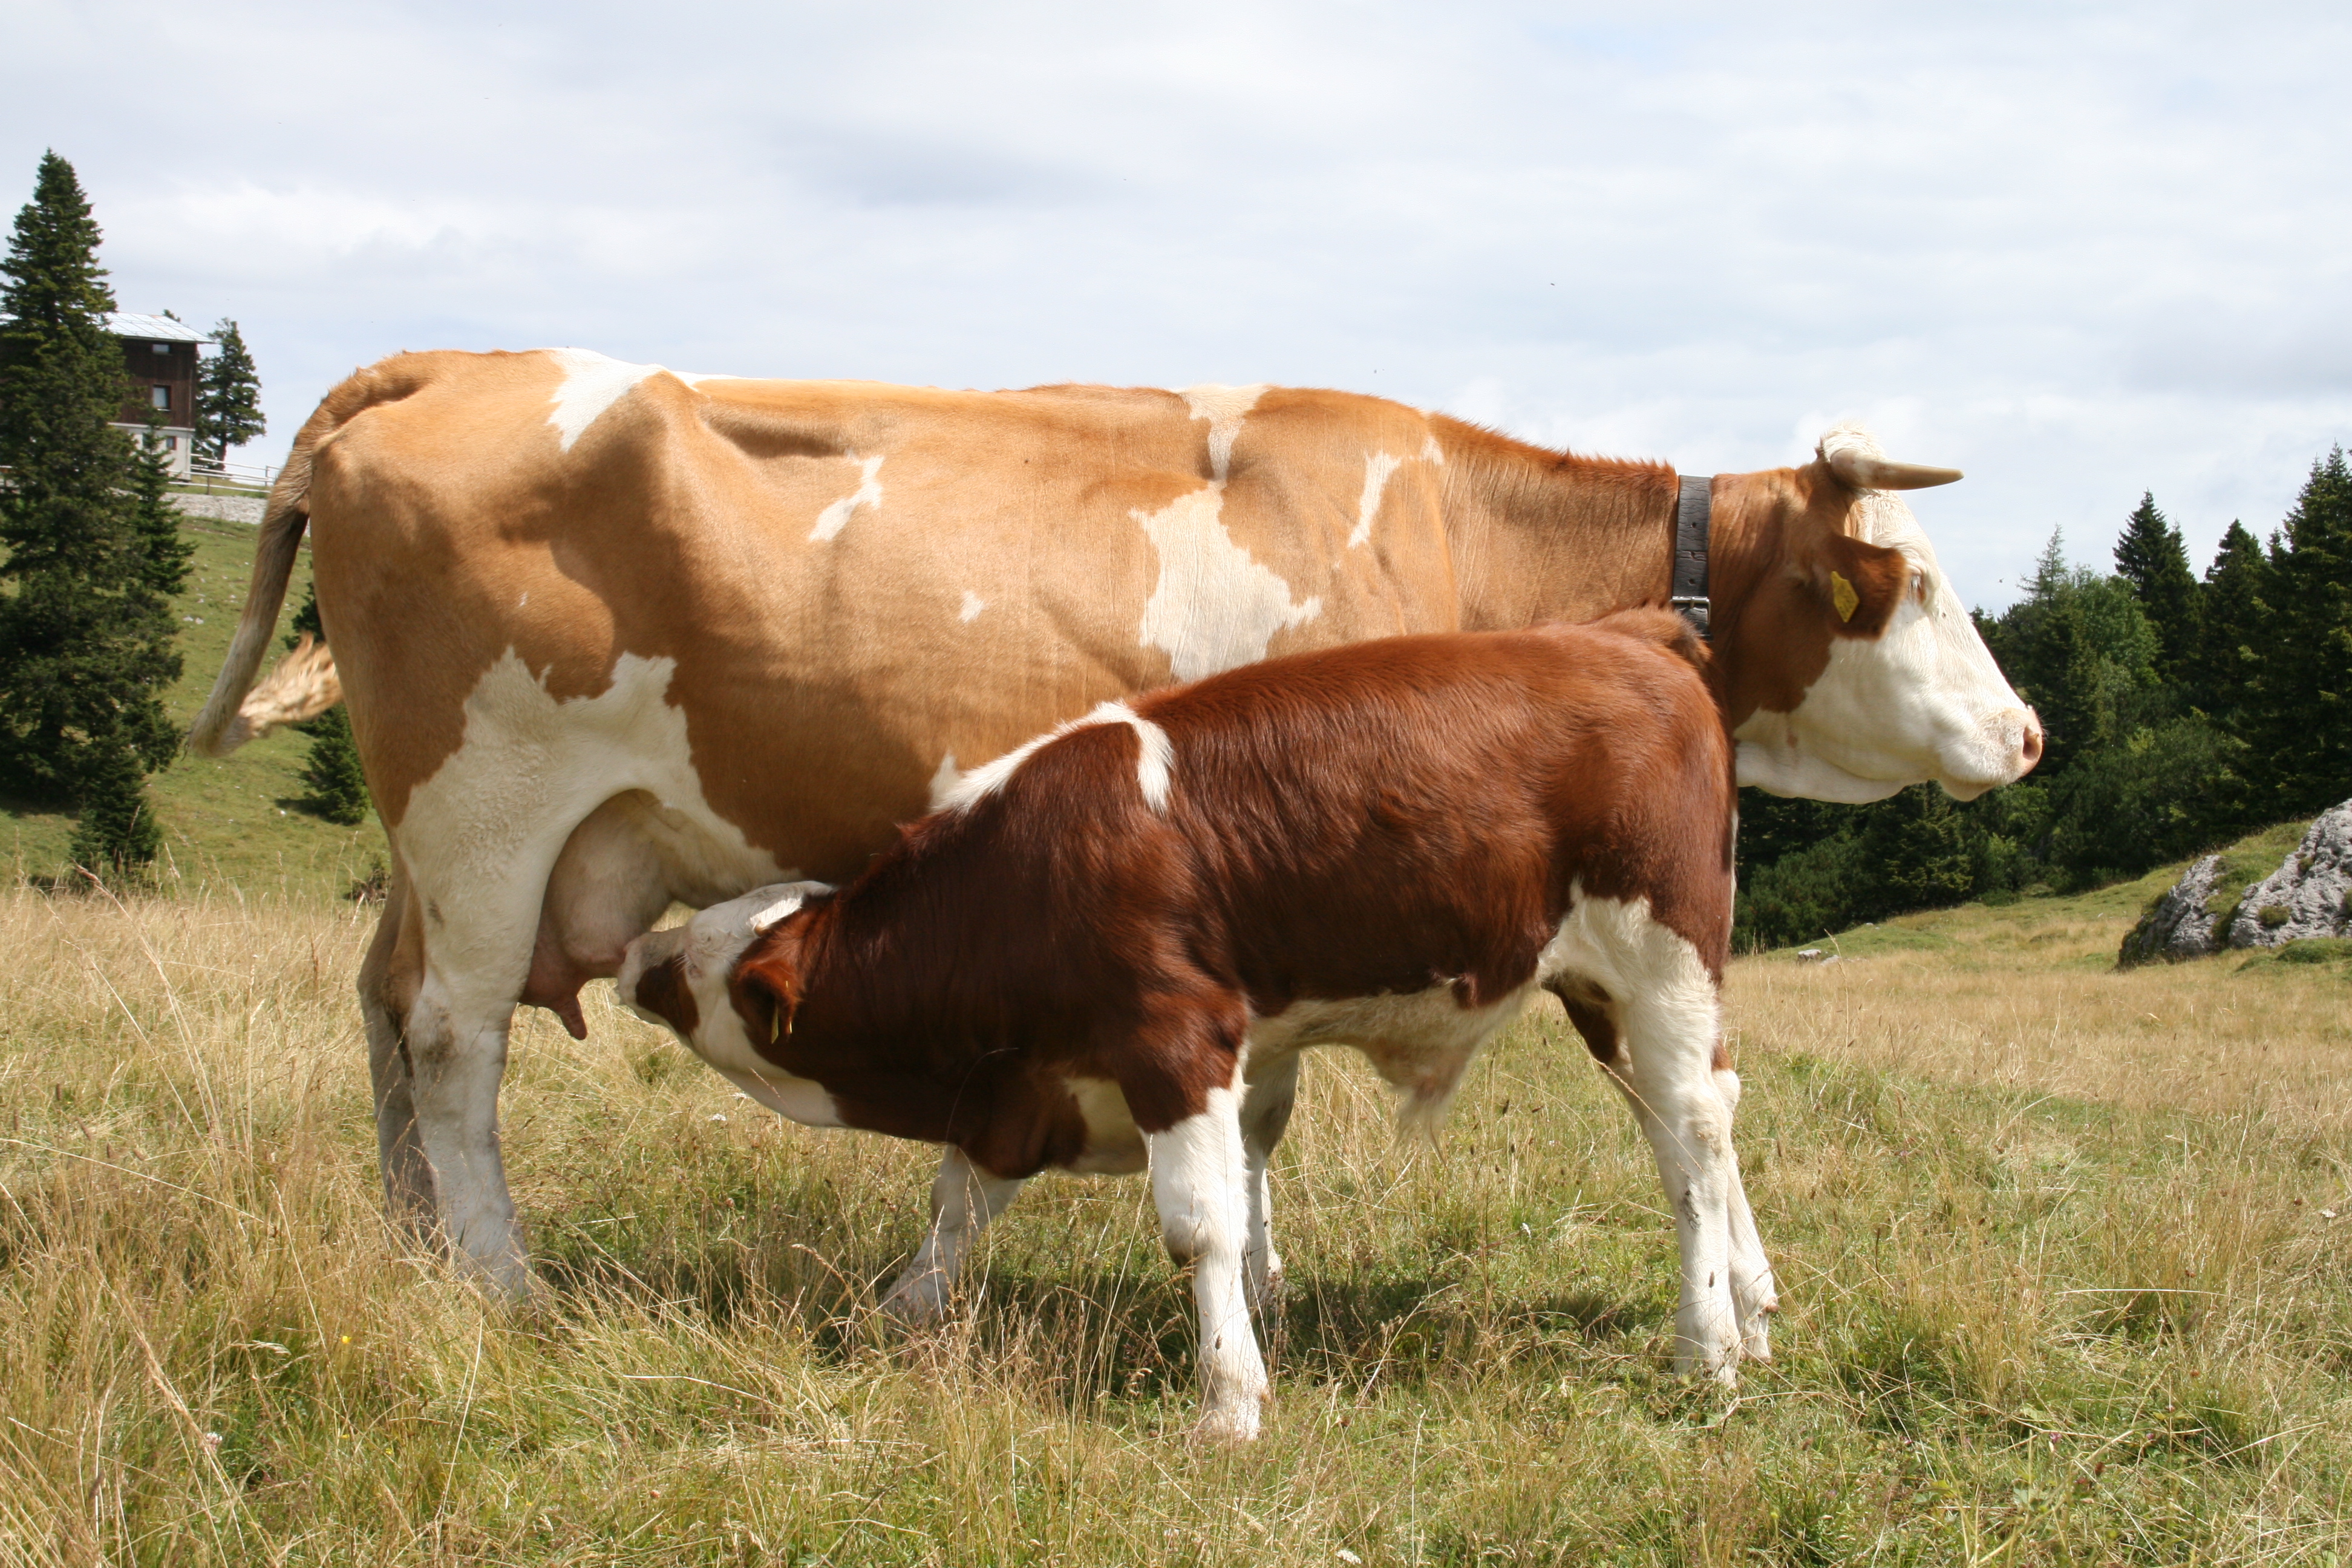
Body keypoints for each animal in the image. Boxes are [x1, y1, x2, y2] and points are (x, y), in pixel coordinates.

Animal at [186, 349, 2040, 1295]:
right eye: (1917, 586)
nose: (2026, 734)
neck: (1460, 529)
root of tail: (467, 367)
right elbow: (1244, 1118)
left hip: (444, 855)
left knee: (380, 1014)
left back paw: (420, 1253)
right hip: (489, 819)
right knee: (452, 1045)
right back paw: (502, 1282)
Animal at [615, 611, 1745, 1441]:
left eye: (705, 963)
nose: (632, 957)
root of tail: (1622, 632)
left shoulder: (1175, 1037)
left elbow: (1200, 1225)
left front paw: (1229, 1403)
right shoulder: (1026, 1090)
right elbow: (958, 1208)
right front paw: (893, 1319)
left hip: (1663, 956)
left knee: (1689, 1140)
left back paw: (1710, 1345)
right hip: (1608, 996)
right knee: (1701, 1118)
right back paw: (1755, 1305)